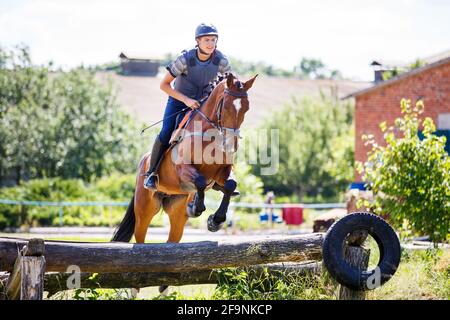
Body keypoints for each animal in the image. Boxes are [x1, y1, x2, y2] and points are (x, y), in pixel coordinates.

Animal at [111, 73, 256, 248]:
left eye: (246, 108)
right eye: (226, 106)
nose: (231, 145)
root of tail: (144, 160)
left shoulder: (222, 172)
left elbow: (230, 185)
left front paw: (215, 221)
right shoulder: (182, 168)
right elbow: (200, 181)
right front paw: (195, 207)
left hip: (177, 210)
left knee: (172, 238)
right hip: (145, 209)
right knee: (140, 236)